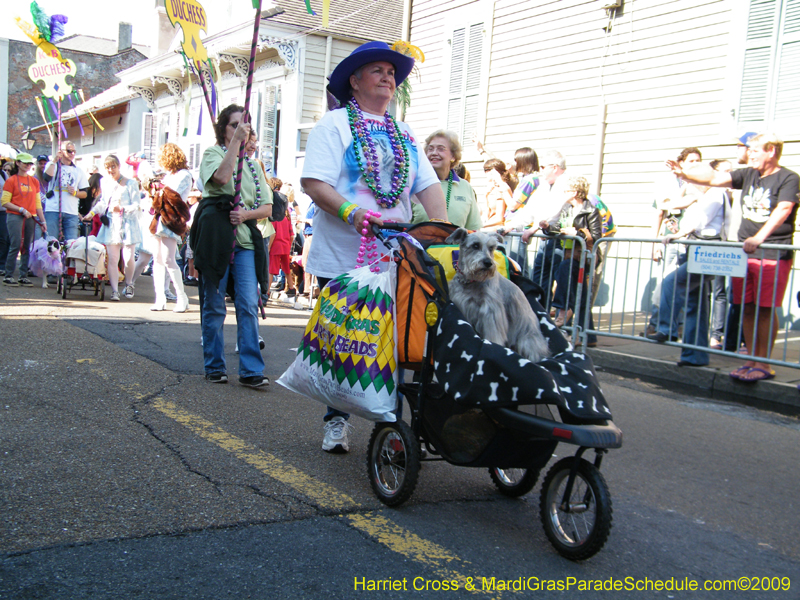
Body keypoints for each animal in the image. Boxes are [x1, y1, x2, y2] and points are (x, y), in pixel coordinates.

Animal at [444, 229, 552, 360]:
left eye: (491, 248)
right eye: (475, 245)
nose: (488, 263)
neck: (471, 281)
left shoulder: (491, 312)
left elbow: (494, 335)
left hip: (527, 340)